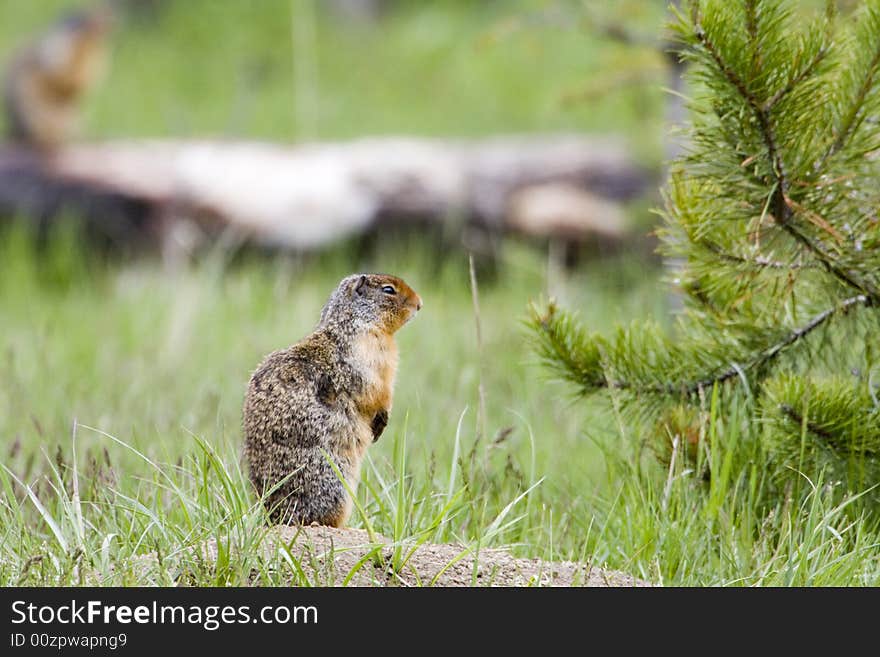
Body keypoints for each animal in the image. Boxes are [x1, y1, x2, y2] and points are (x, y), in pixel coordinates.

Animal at [3, 4, 113, 150]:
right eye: (82, 15)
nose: (111, 13)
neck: (87, 46)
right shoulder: (59, 50)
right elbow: (59, 73)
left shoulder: (96, 60)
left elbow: (84, 81)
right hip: (33, 115)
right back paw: (49, 140)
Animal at [241, 274, 420, 524]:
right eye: (388, 290)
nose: (419, 303)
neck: (354, 324)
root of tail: (276, 516)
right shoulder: (370, 358)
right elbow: (376, 391)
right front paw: (382, 419)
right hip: (335, 483)